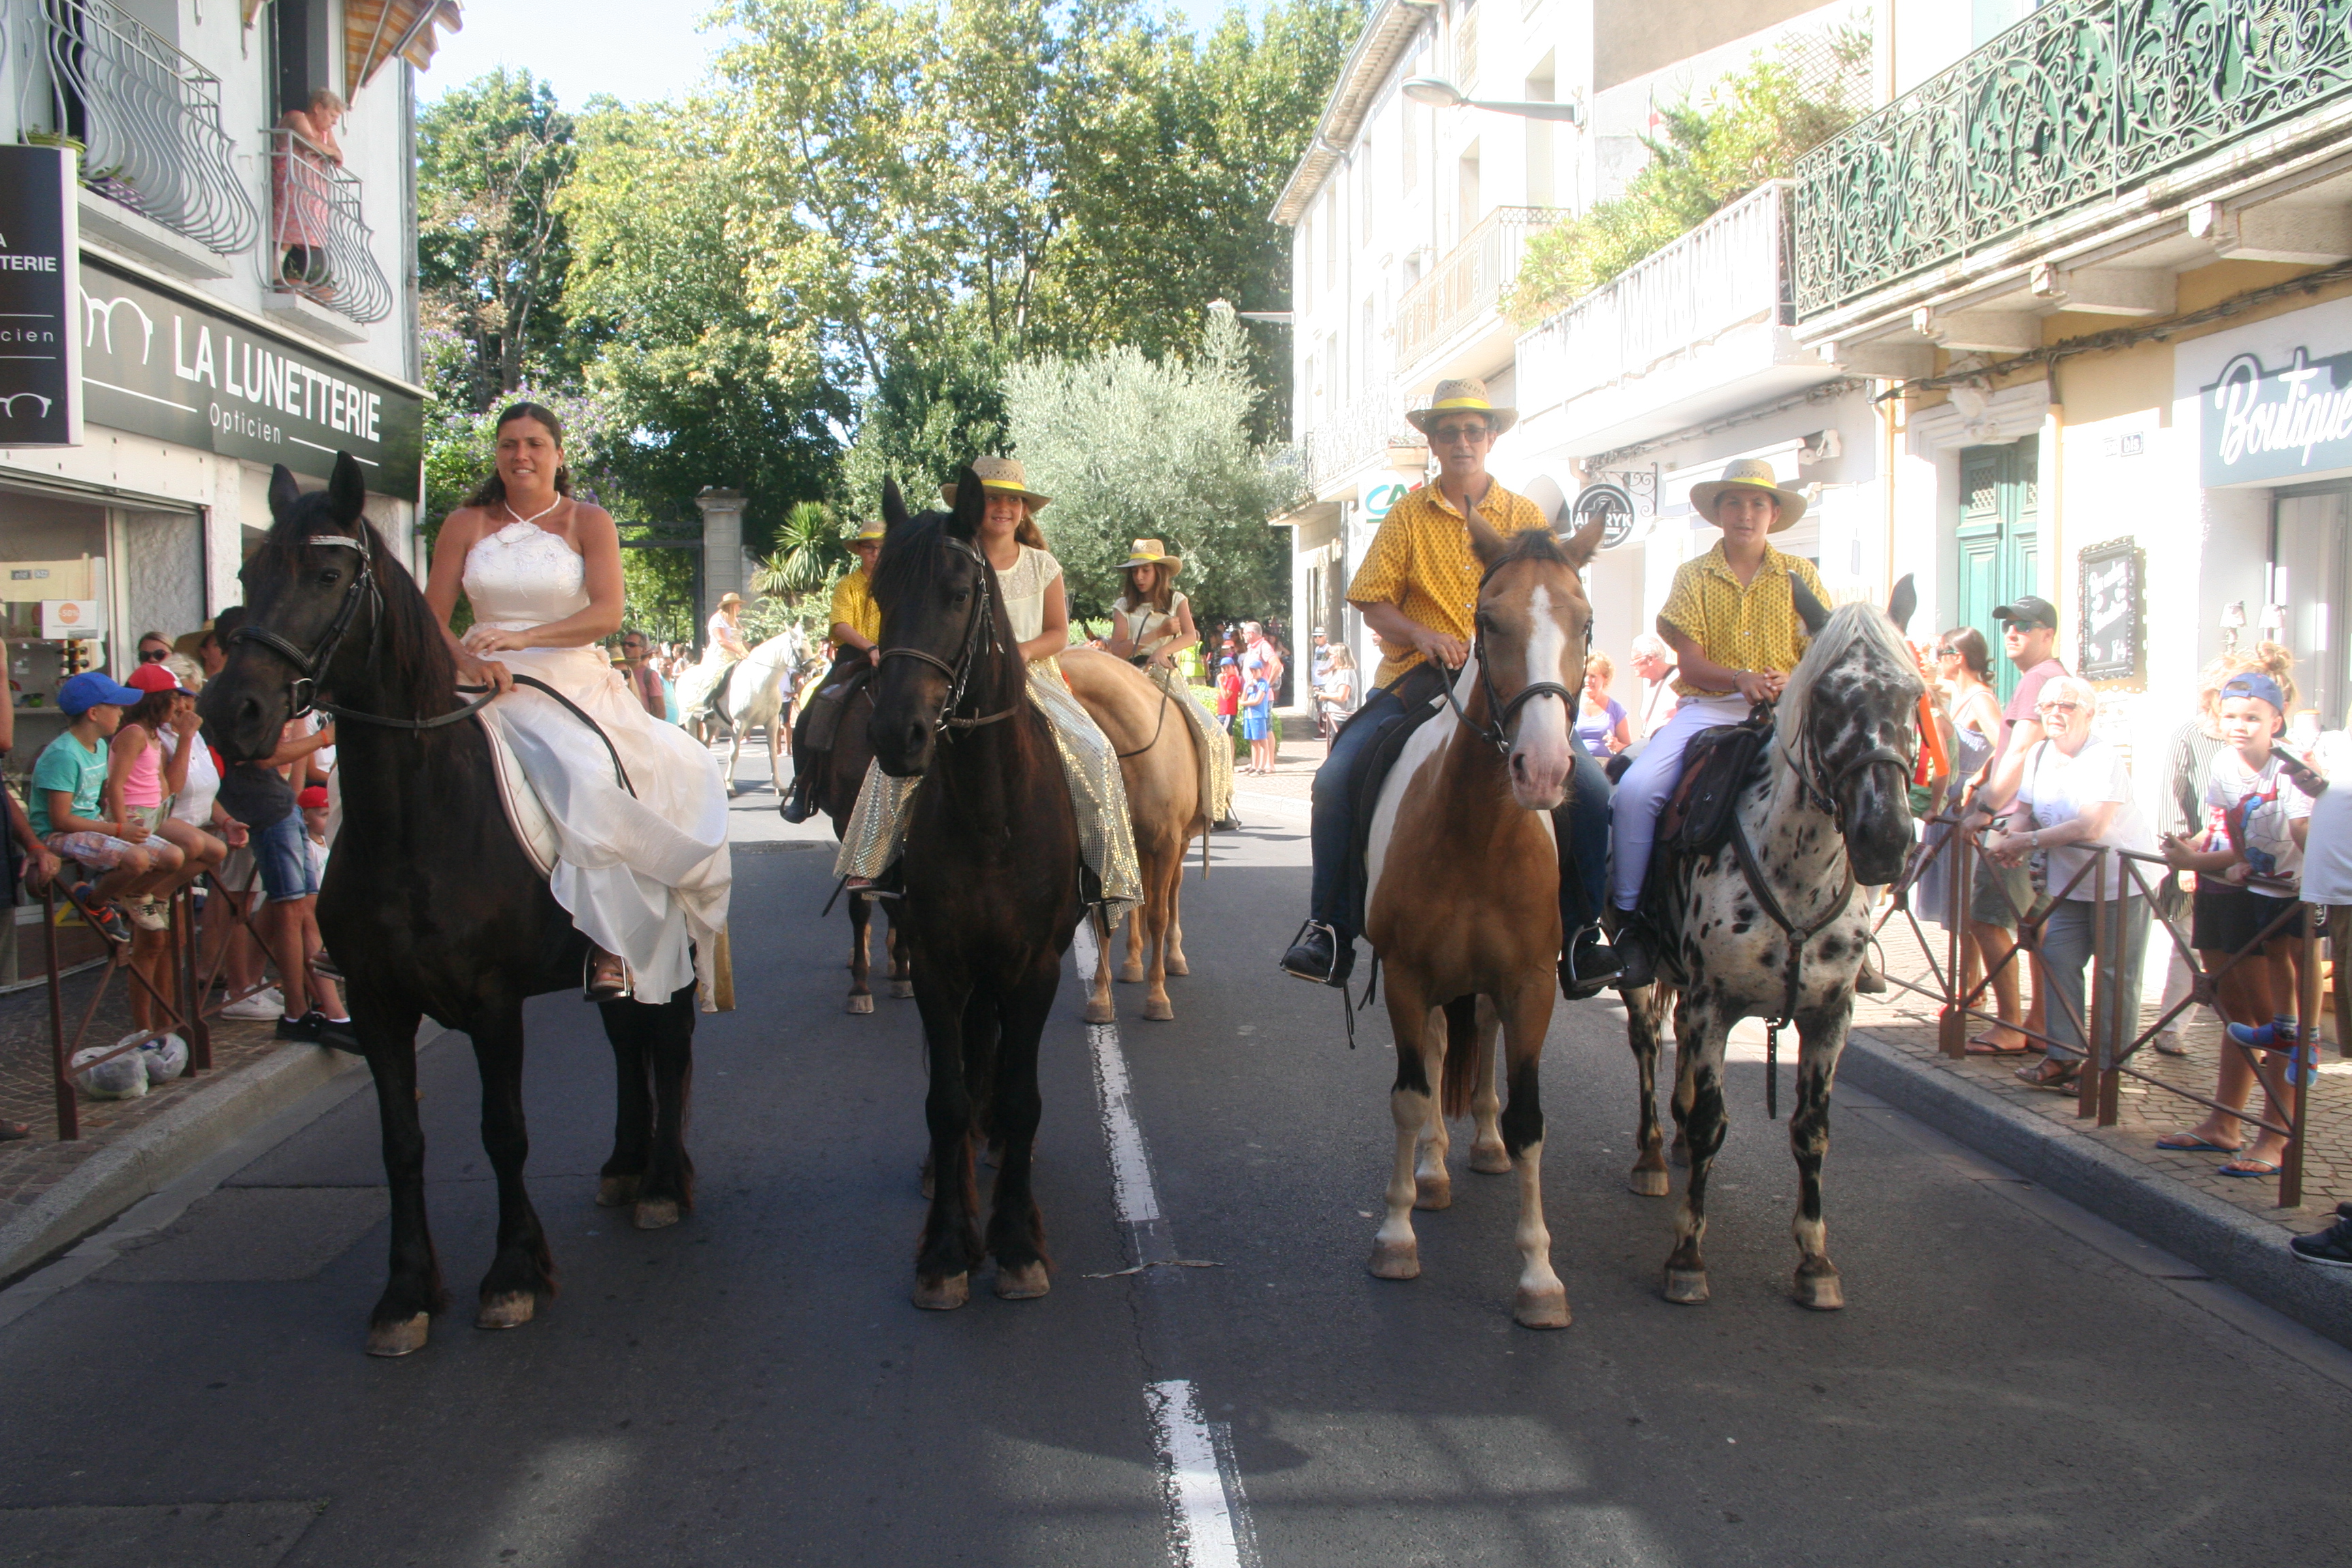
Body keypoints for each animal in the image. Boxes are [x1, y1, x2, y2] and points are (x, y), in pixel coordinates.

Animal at [199, 451, 696, 1354]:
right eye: (250, 574)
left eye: (328, 575)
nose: (229, 711)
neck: (413, 819)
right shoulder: (375, 1002)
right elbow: (402, 1144)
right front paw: (405, 1293)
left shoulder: (493, 1001)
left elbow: (504, 1133)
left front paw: (513, 1275)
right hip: (619, 953)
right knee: (625, 1043)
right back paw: (623, 1166)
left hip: (667, 952)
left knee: (667, 1045)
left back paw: (661, 1186)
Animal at [865, 465, 1081, 1316]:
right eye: (879, 593)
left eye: (959, 593)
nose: (897, 736)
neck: (992, 814)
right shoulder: (936, 962)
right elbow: (946, 1101)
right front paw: (948, 1250)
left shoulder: (1035, 968)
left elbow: (1022, 1098)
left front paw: (1017, 1243)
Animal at [1072, 644, 1213, 1025]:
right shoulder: (1106, 849)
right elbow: (1104, 920)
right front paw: (1101, 999)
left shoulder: (1167, 845)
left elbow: (1159, 916)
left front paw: (1157, 997)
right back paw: (1133, 962)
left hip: (1180, 845)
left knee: (1171, 893)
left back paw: (1174, 958)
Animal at [1354, 521, 1608, 1335]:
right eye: (1488, 621)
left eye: (1584, 622)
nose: (1544, 769)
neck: (1478, 834)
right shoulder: (1406, 977)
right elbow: (1411, 1095)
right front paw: (1396, 1235)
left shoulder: (1530, 984)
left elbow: (1529, 1118)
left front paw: (1539, 1278)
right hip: (1434, 983)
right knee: (1439, 1056)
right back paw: (1434, 1171)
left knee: (1482, 1043)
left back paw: (1485, 1146)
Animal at [1627, 576, 1919, 1316]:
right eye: (1827, 697)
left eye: (1913, 694)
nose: (1886, 839)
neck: (1796, 865)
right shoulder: (1715, 1005)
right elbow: (1713, 1122)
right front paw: (1687, 1255)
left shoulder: (1830, 1016)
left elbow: (1810, 1131)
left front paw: (1815, 1261)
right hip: (1642, 975)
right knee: (1647, 1046)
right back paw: (1652, 1154)